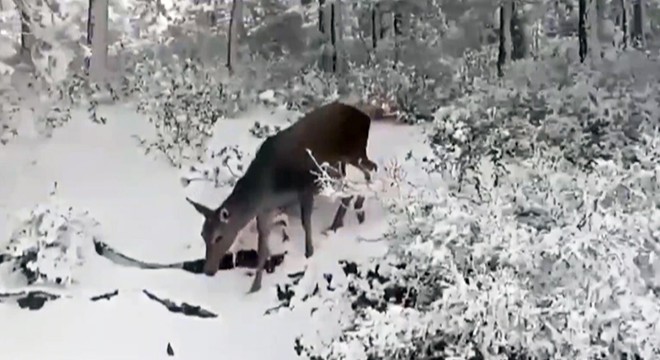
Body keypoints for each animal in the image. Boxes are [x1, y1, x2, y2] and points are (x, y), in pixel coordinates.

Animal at [186, 100, 382, 292]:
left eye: (218, 237)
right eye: (203, 235)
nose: (208, 270)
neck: (265, 191)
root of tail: (366, 117)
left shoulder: (305, 188)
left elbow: (305, 223)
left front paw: (309, 253)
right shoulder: (266, 211)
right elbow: (262, 247)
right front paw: (255, 287)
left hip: (354, 152)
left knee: (372, 168)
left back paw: (357, 208)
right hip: (339, 163)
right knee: (353, 181)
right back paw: (344, 219)